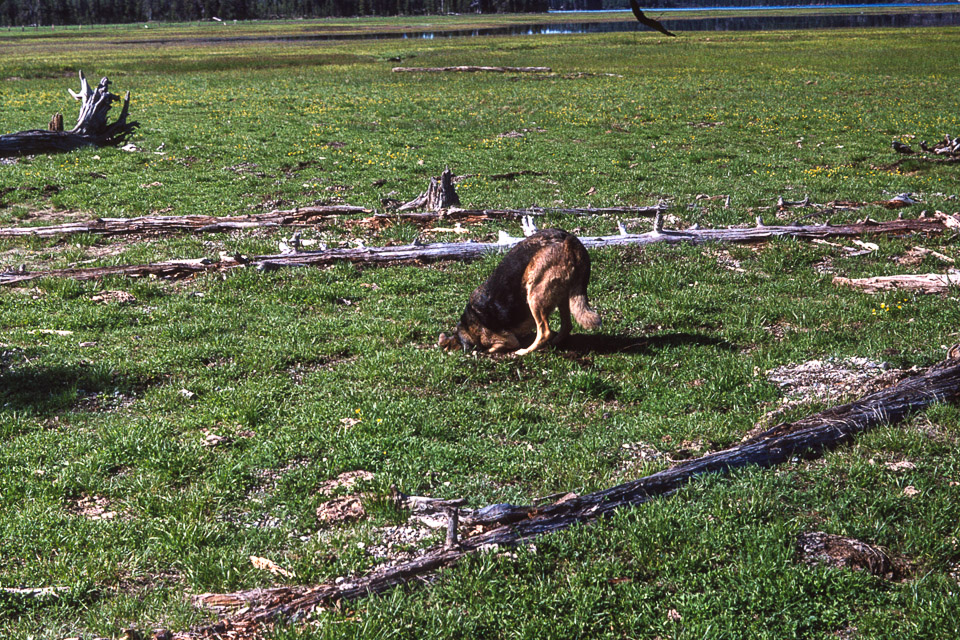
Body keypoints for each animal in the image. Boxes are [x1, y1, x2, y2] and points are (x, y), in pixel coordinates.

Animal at [436, 229, 600, 356]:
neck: (468, 325)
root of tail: (567, 238)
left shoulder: (505, 340)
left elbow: (493, 347)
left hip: (534, 295)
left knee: (544, 332)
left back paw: (526, 351)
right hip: (563, 296)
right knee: (566, 326)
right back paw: (553, 343)